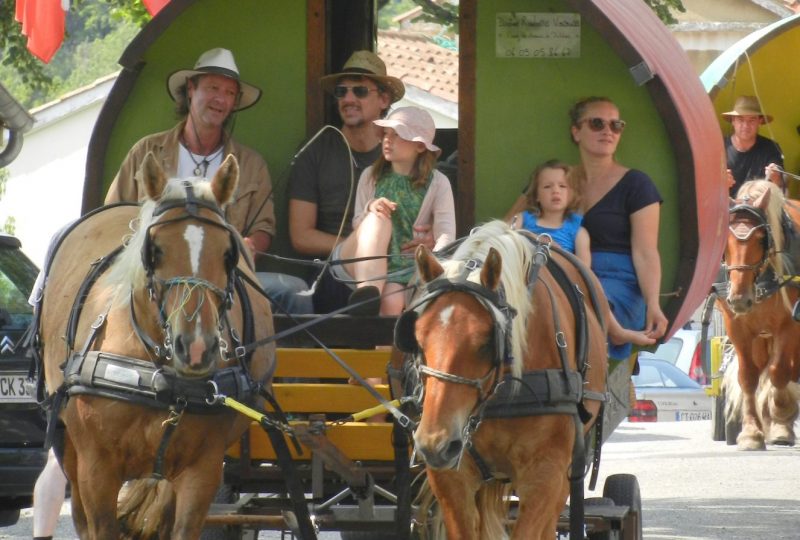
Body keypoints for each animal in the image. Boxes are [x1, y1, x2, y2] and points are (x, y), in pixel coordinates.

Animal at [36, 153, 276, 540]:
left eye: (229, 254)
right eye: (154, 250)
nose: (196, 347)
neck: (160, 377)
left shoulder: (202, 472)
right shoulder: (96, 470)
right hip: (66, 442)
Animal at [720, 179, 800, 450]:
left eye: (760, 238)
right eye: (725, 242)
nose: (739, 298)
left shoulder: (789, 326)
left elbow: (778, 371)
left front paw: (781, 423)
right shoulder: (737, 328)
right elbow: (748, 377)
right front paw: (751, 433)